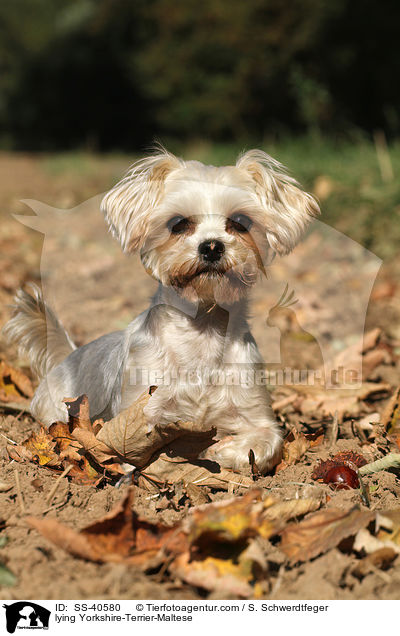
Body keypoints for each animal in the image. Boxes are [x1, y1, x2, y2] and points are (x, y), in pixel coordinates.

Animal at [3, 145, 318, 472]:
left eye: (240, 221)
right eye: (178, 224)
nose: (212, 246)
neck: (202, 332)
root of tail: (66, 357)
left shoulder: (256, 413)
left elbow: (263, 444)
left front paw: (221, 449)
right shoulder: (138, 413)